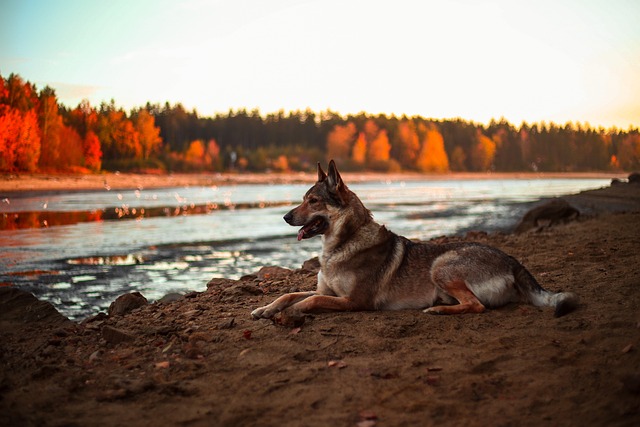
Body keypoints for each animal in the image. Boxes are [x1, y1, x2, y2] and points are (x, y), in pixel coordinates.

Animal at [251, 160, 580, 320]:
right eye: (302, 199)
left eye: (313, 201)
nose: (284, 217)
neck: (341, 245)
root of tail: (513, 261)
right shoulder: (328, 290)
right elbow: (290, 293)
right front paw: (266, 309)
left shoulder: (354, 300)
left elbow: (311, 300)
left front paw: (290, 313)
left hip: (441, 266)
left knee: (476, 306)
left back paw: (438, 310)